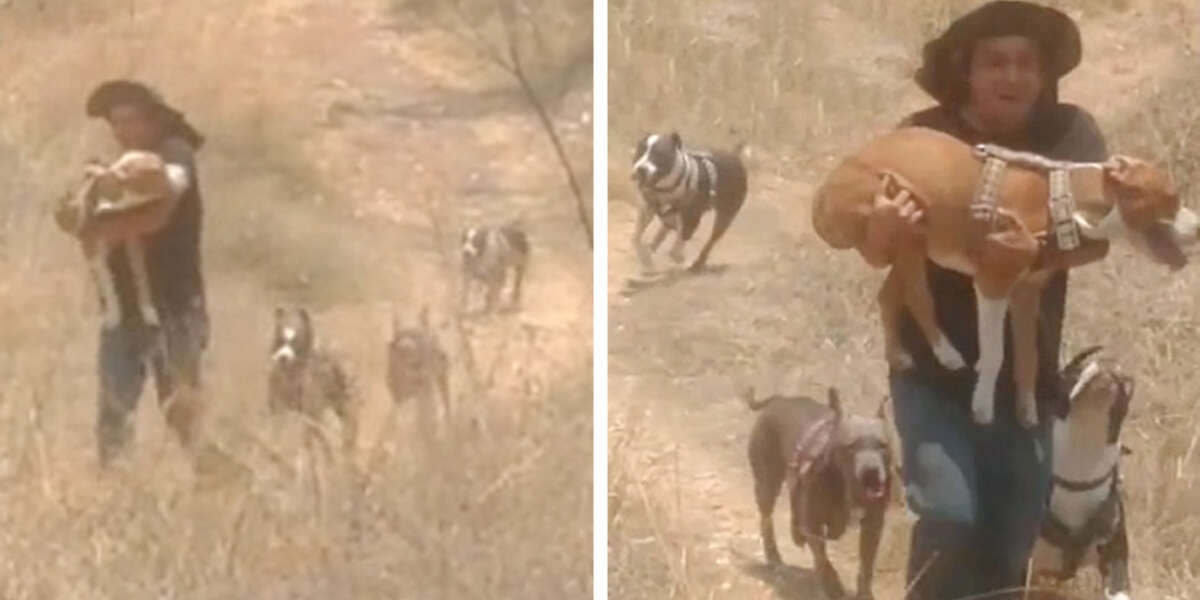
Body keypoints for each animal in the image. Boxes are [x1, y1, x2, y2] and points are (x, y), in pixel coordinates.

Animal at [744, 384, 897, 600]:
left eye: (883, 446)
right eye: (851, 446)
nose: (871, 472)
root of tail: (779, 399)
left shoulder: (873, 525)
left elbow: (866, 564)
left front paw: (864, 593)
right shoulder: (814, 524)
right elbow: (823, 560)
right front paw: (832, 585)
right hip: (767, 483)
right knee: (766, 520)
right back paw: (774, 557)